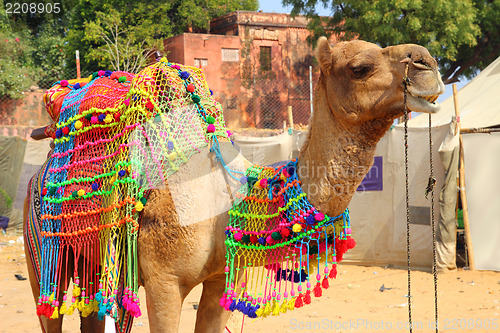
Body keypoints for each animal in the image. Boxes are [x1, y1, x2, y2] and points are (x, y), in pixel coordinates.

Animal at [25, 37, 444, 332]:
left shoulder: (220, 281)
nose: (428, 62)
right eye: (360, 67)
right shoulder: (163, 282)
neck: (224, 203)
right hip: (43, 254)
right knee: (50, 310)